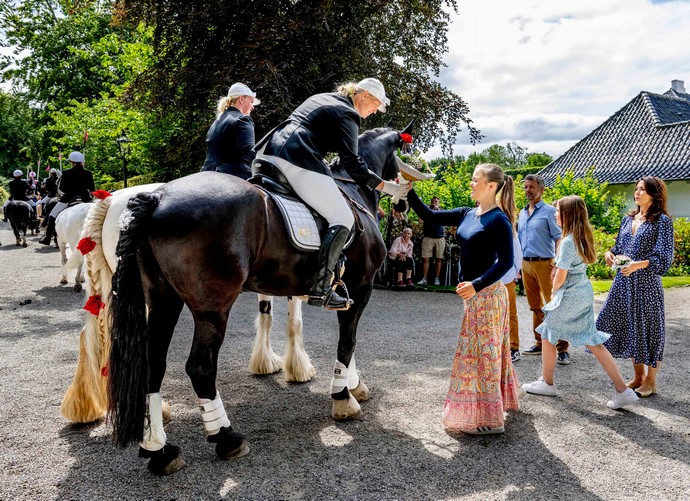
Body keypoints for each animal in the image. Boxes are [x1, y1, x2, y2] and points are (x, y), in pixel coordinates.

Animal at [61, 181, 314, 422]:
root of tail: (111, 199)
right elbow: (294, 322)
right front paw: (299, 368)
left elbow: (266, 315)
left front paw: (265, 361)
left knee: (96, 336)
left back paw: (89, 405)